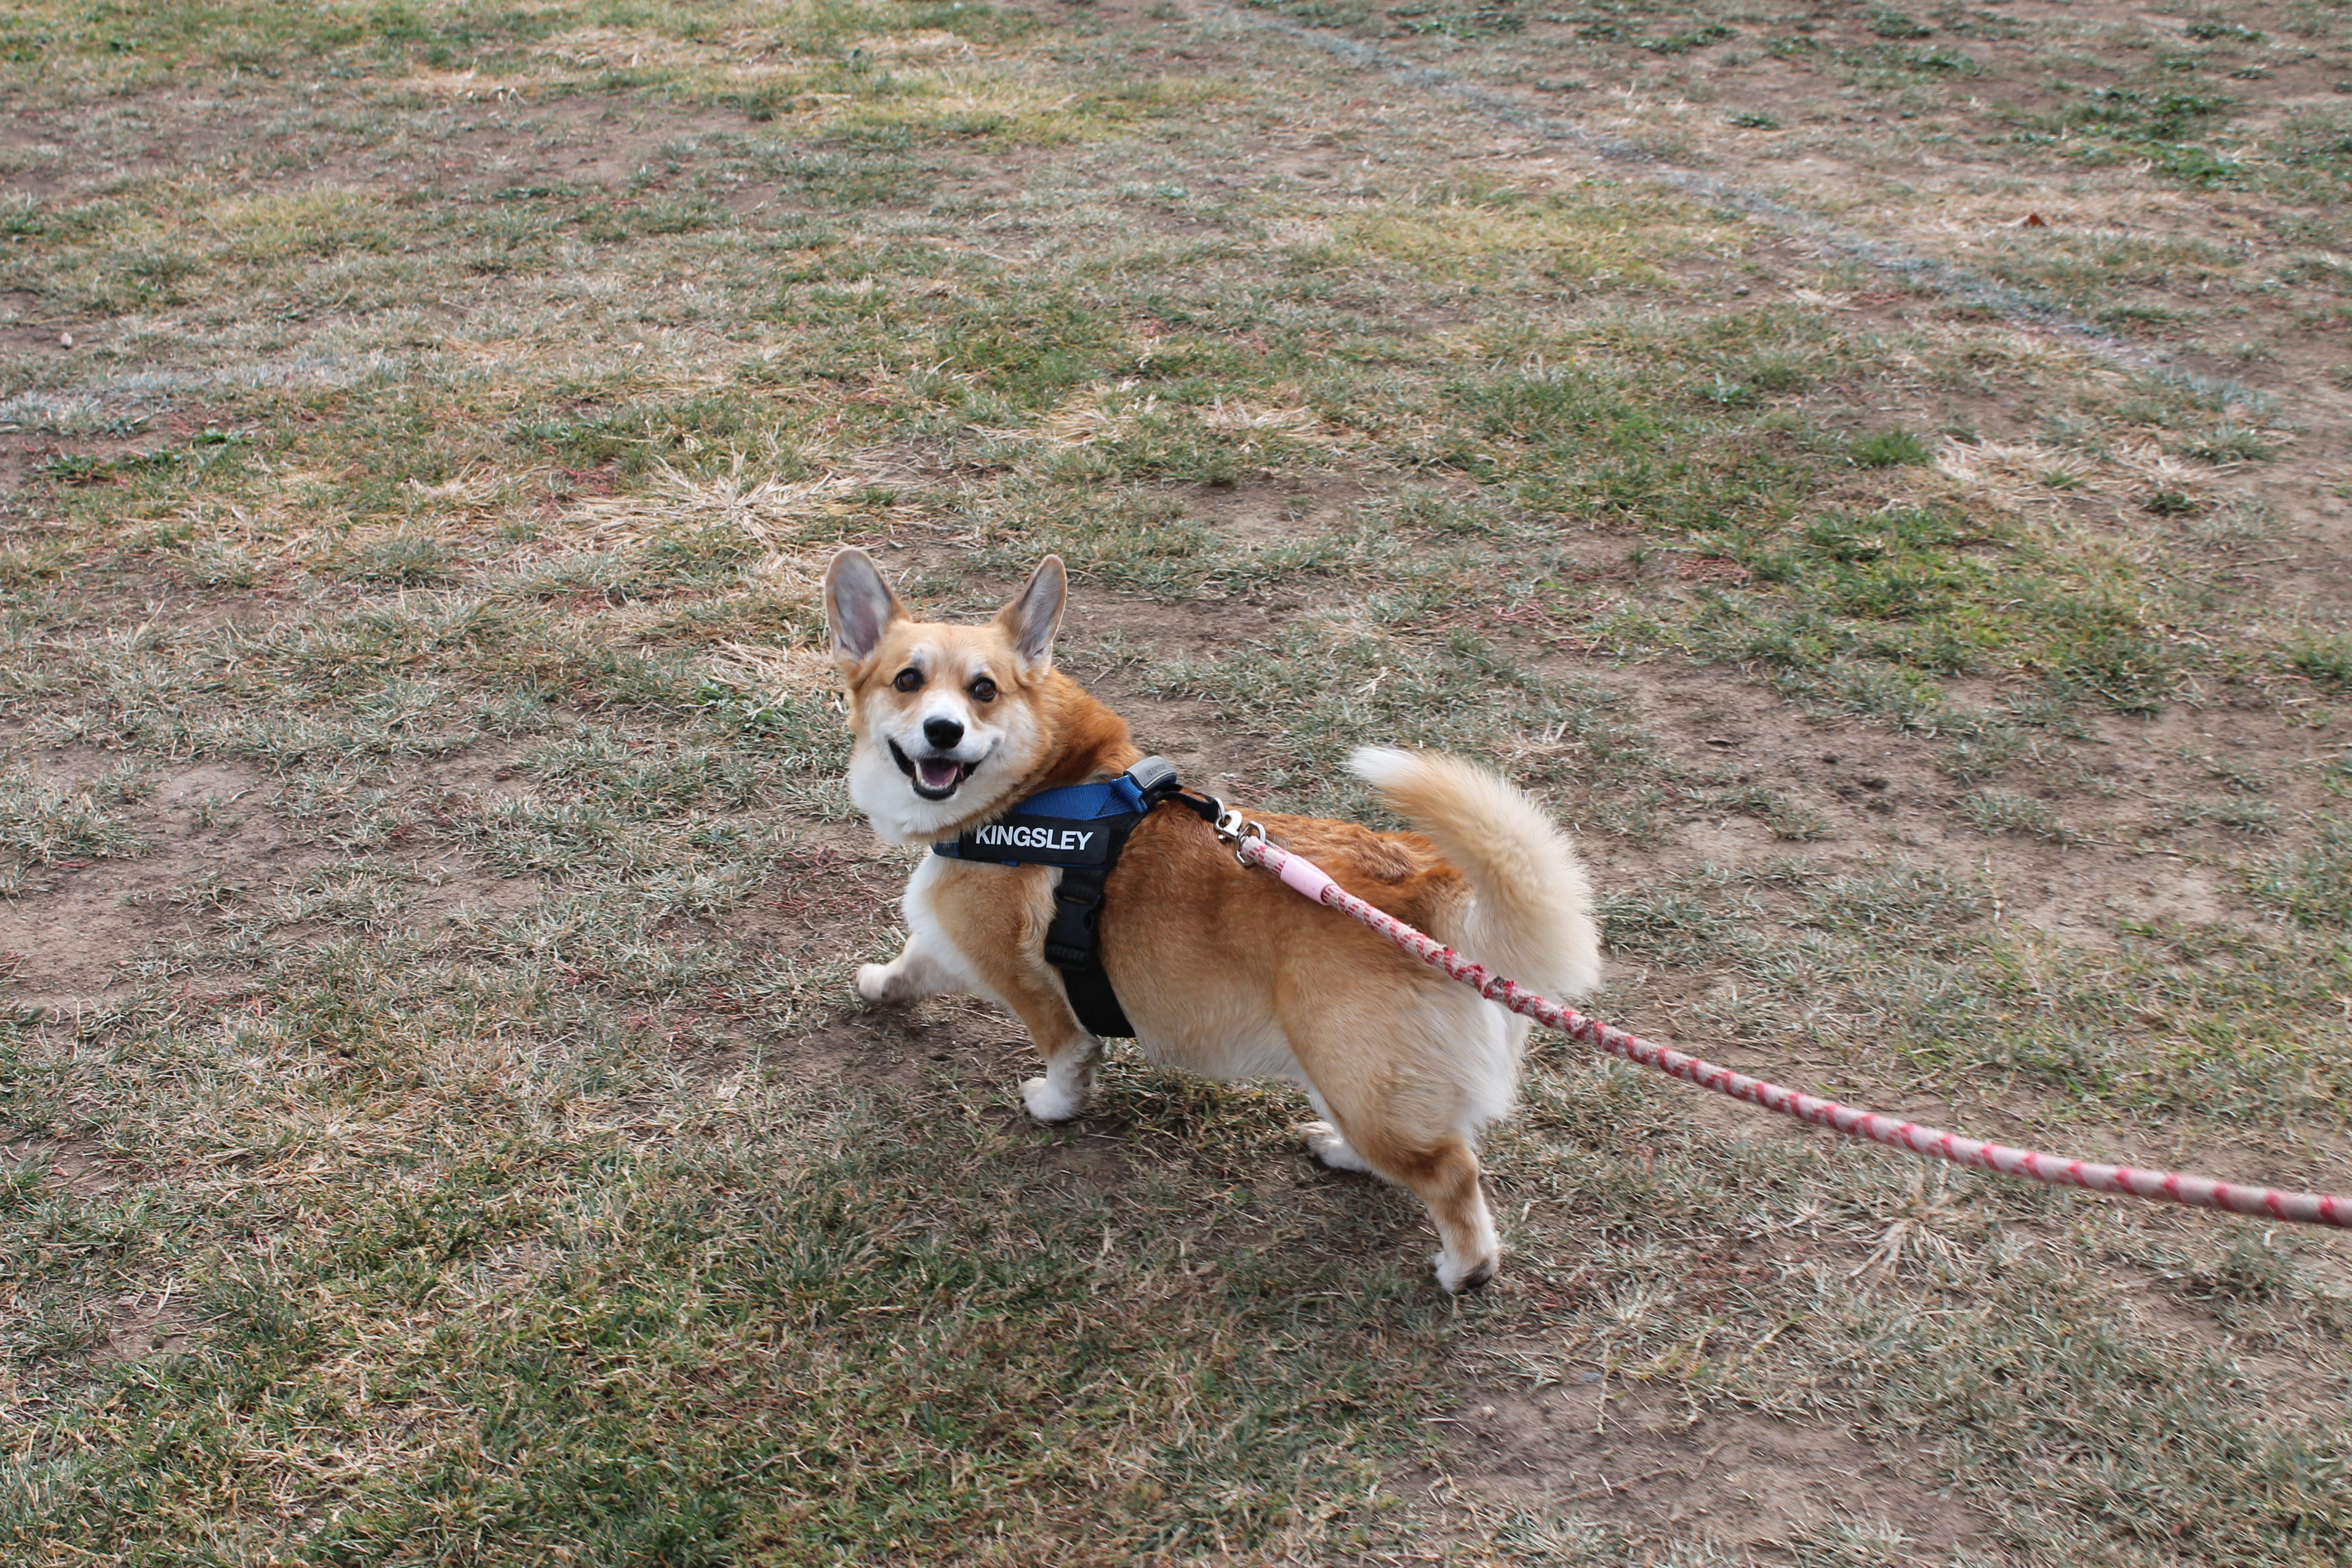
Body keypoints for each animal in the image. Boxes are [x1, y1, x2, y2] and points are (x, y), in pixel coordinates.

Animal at [824, 547, 1600, 1290]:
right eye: (907, 680)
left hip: (1357, 1076)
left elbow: (1068, 1053)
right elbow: (911, 964)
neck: (1033, 790)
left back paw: (1463, 1271)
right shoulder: (943, 939)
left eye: (983, 690)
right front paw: (879, 985)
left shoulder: (1023, 979)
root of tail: (1432, 887)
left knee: (1451, 1172)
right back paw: (1340, 1150)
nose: (943, 731)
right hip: (1350, 1076)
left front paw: (1052, 1104)